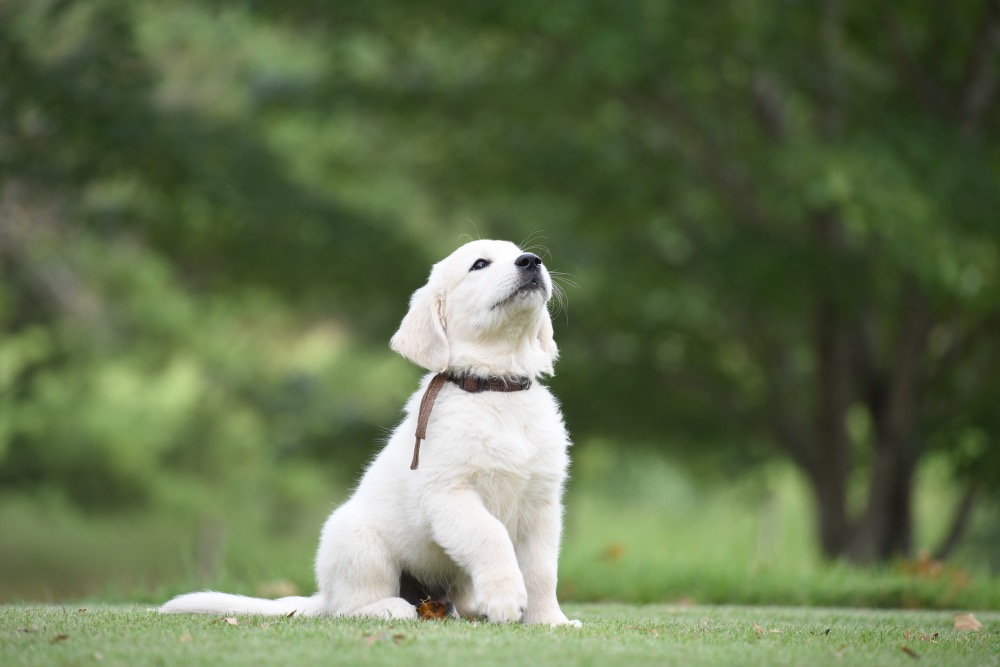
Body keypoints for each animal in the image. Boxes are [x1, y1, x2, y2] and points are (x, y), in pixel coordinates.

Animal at [161, 239, 584, 628]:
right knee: (351, 606)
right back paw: (389, 608)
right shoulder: (450, 494)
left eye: (520, 253)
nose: (532, 261)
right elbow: (490, 536)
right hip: (357, 542)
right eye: (479, 264)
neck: (496, 387)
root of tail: (323, 595)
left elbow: (542, 570)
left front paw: (550, 620)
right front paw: (506, 598)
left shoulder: (542, 506)